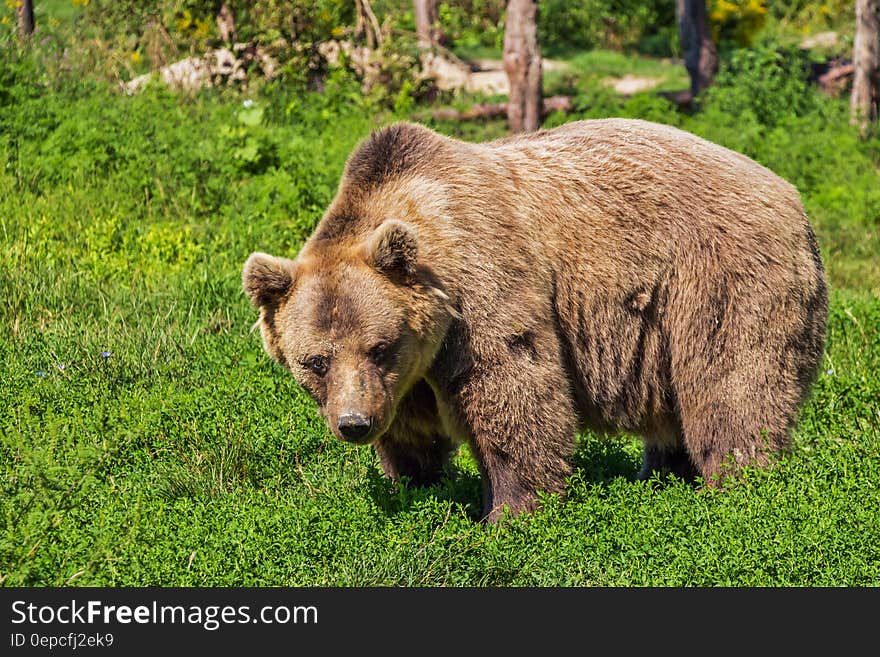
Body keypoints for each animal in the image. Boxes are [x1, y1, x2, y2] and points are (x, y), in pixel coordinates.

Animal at [241, 118, 824, 524]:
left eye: (379, 346)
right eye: (315, 361)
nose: (354, 423)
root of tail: (792, 196)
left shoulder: (483, 286)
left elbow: (514, 391)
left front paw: (509, 512)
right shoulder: (407, 378)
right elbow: (412, 432)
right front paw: (418, 485)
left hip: (718, 278)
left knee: (732, 385)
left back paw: (739, 484)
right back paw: (661, 477)